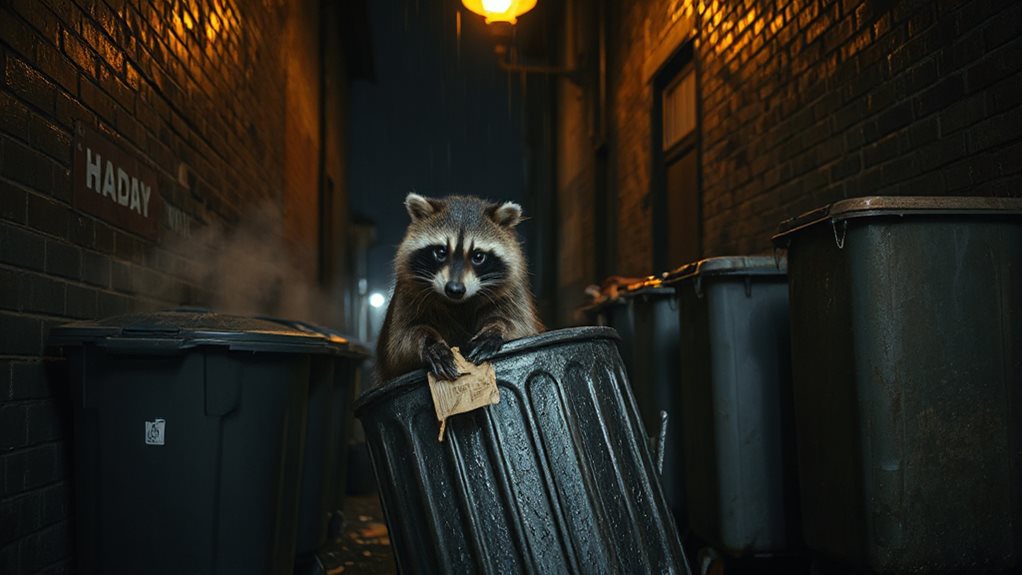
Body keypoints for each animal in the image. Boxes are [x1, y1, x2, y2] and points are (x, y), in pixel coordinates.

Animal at [375, 193, 543, 383]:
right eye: (441, 252)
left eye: (478, 256)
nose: (454, 289)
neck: (459, 303)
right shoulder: (409, 293)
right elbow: (401, 342)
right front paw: (431, 343)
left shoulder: (512, 292)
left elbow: (520, 325)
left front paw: (495, 329)